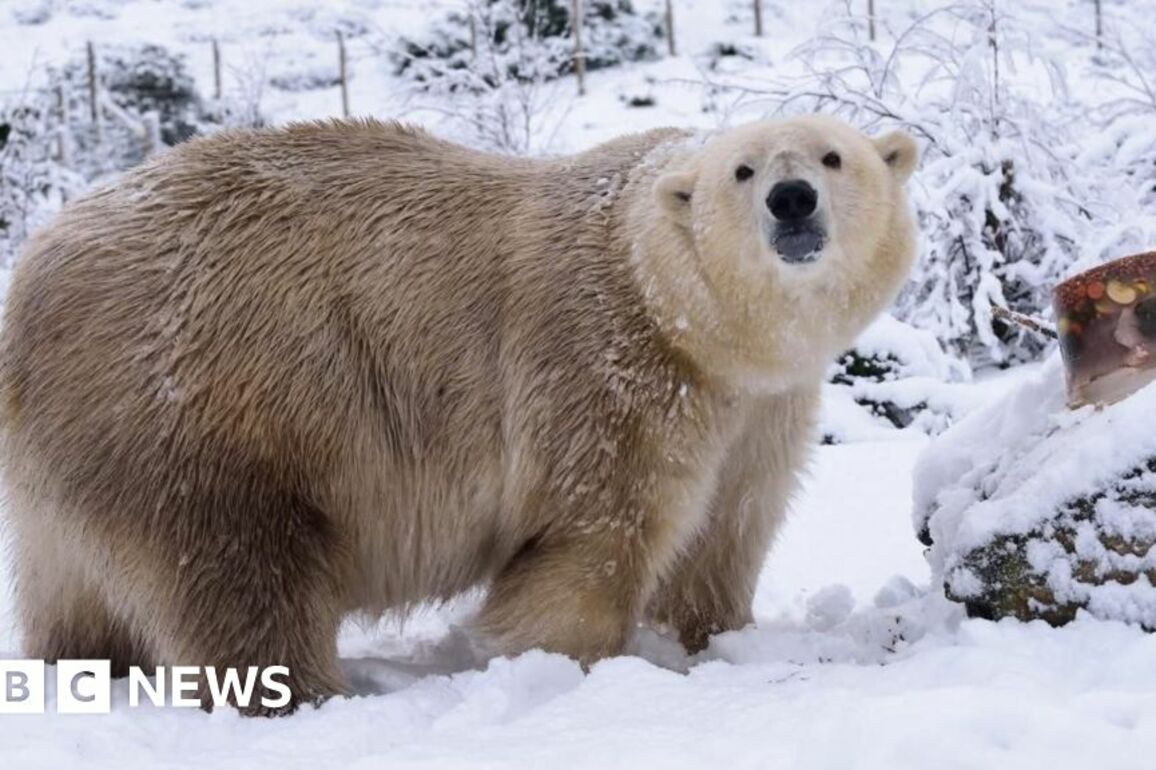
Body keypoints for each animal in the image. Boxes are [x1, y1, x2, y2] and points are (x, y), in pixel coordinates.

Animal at [0, 114, 917, 714]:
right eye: (742, 171)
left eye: (834, 156)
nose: (793, 200)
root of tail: (30, 281)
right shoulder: (605, 367)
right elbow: (594, 536)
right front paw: (564, 664)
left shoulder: (761, 407)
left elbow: (727, 529)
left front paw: (718, 637)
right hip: (206, 405)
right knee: (240, 568)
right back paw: (304, 695)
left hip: (81, 452)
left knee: (75, 590)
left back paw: (87, 668)